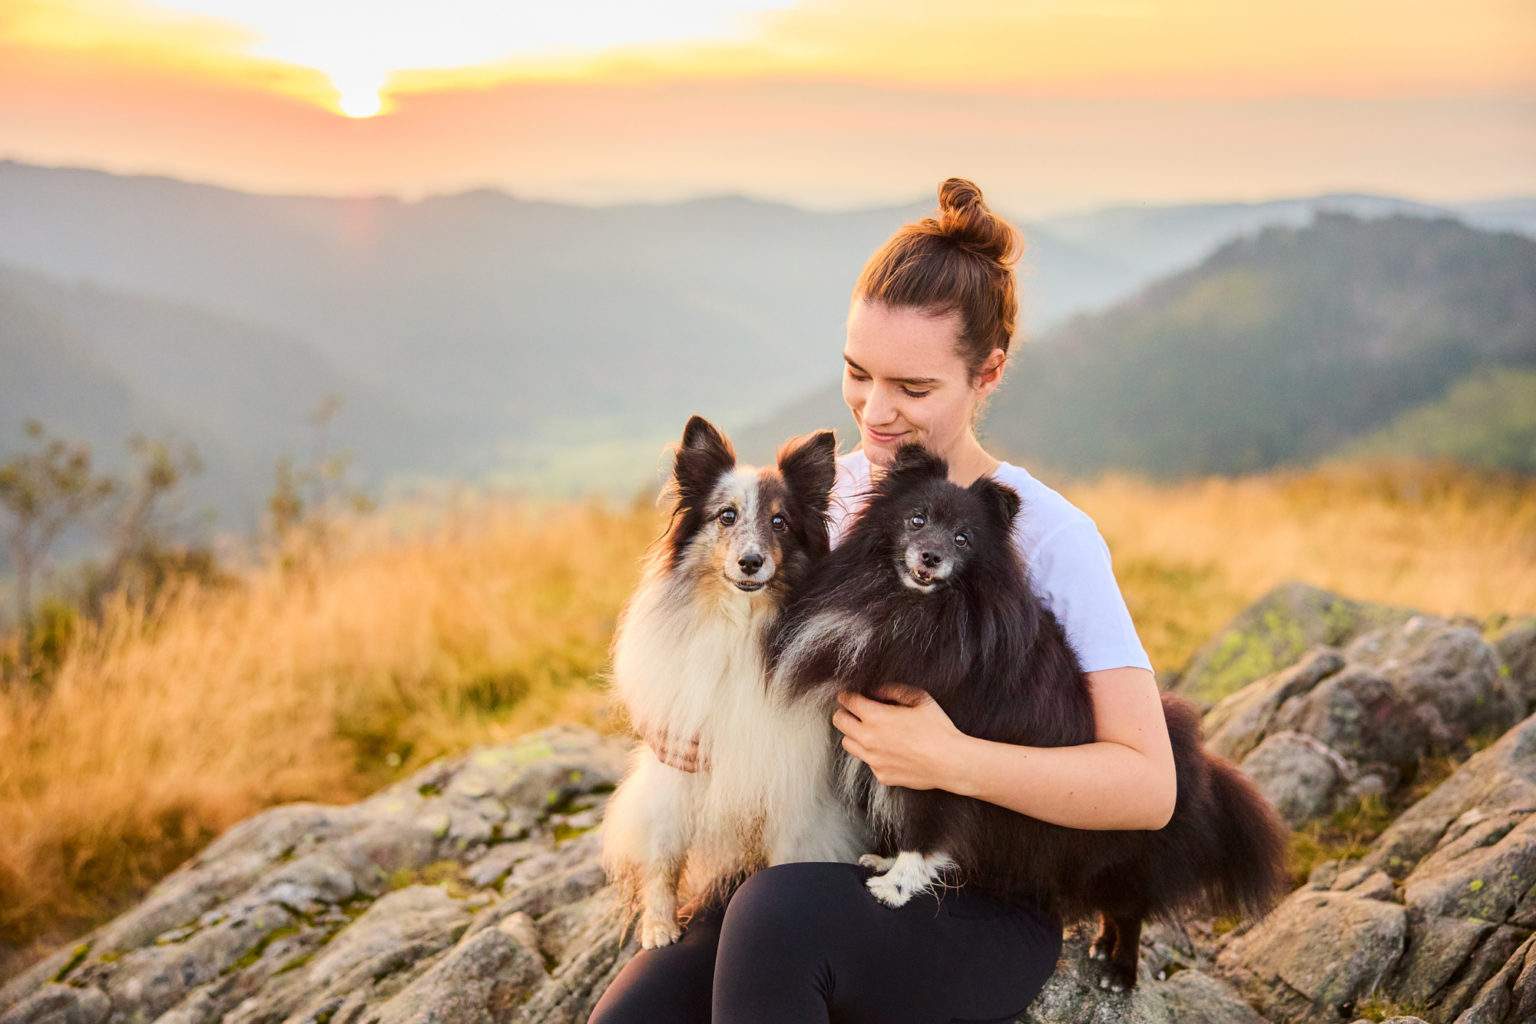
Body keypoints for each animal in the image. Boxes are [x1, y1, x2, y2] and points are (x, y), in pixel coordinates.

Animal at [768, 448, 1284, 994]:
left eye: (963, 539)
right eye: (917, 520)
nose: (930, 557)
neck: (914, 606)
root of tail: (1189, 756)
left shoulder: (932, 757)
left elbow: (924, 827)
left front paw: (897, 885)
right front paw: (885, 860)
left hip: (1117, 856)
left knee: (1131, 909)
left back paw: (1119, 968)